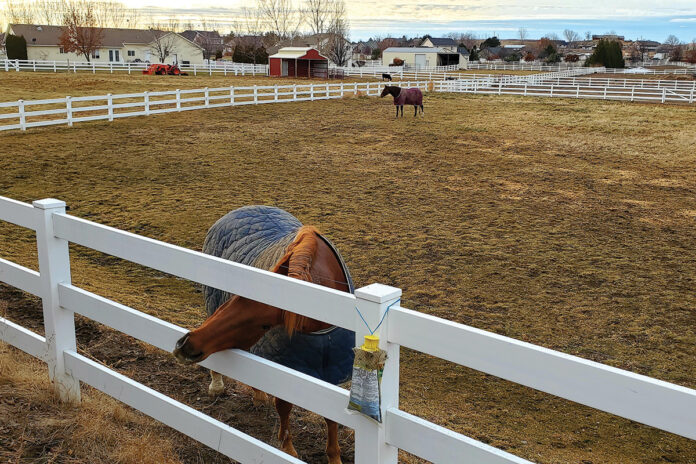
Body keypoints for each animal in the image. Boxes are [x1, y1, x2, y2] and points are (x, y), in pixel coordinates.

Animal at [173, 206, 354, 464]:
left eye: (264, 325)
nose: (184, 344)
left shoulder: (333, 370)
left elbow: (331, 417)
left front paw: (334, 456)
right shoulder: (285, 363)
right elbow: (284, 406)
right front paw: (287, 449)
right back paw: (219, 384)